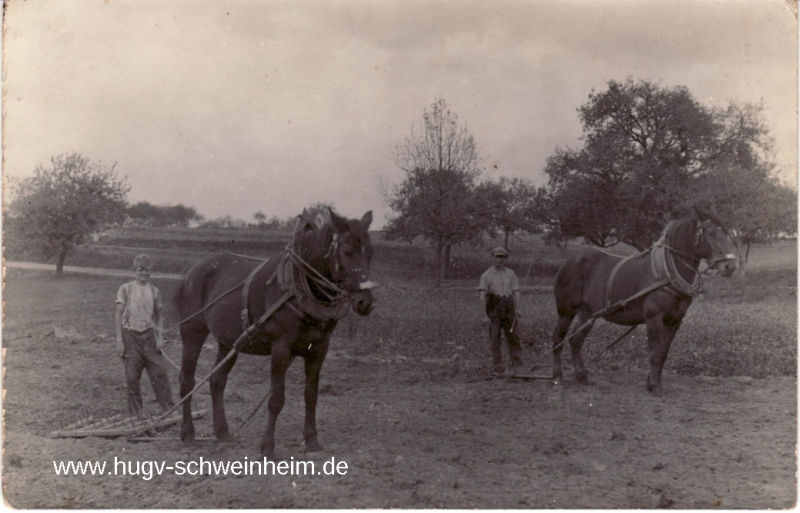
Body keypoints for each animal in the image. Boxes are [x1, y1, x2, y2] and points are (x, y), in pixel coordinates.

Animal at [176, 208, 376, 456]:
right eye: (346, 252)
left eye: (371, 253)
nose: (365, 302)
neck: (299, 287)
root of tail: (193, 271)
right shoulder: (281, 349)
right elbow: (276, 399)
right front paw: (267, 446)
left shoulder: (319, 350)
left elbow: (311, 396)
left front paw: (312, 441)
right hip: (192, 333)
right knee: (187, 380)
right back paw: (188, 433)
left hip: (229, 340)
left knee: (217, 381)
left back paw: (223, 433)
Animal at [552, 206, 736, 394]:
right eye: (711, 233)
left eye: (728, 234)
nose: (730, 266)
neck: (665, 273)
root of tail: (570, 259)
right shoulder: (654, 318)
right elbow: (654, 354)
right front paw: (654, 386)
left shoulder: (675, 321)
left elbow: (663, 353)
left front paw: (655, 383)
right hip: (566, 310)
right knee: (558, 339)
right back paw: (557, 377)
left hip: (587, 313)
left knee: (576, 340)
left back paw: (582, 377)